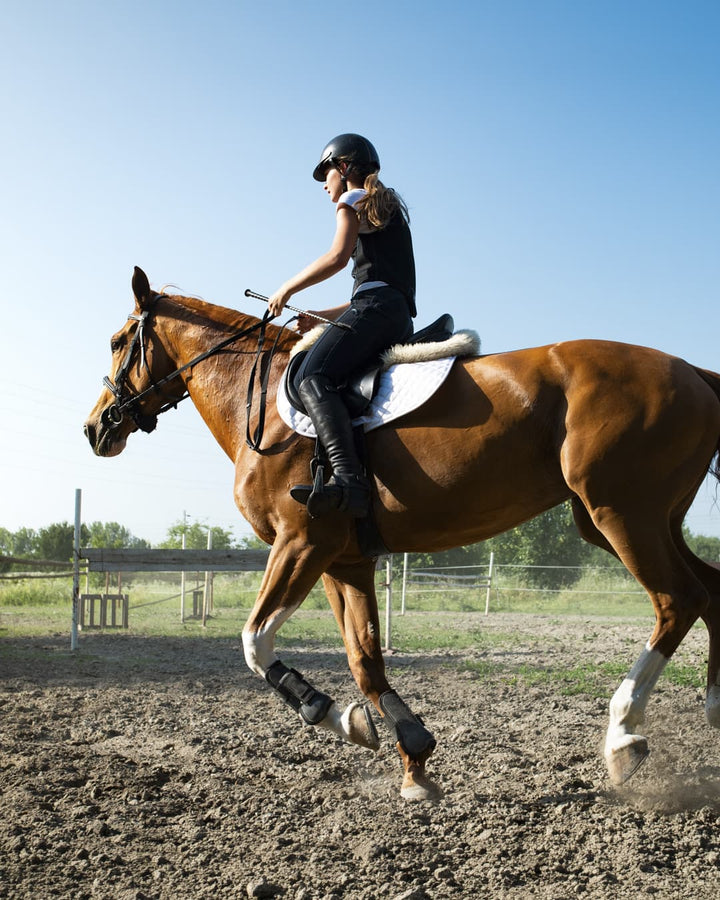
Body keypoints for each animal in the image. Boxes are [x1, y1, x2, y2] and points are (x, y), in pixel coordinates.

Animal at [84, 267, 720, 800]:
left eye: (117, 342)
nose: (96, 428)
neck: (256, 396)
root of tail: (691, 371)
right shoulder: (342, 561)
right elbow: (365, 660)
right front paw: (406, 754)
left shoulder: (302, 543)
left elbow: (255, 641)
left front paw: (322, 708)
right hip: (634, 521)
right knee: (710, 590)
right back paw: (712, 708)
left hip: (622, 515)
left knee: (678, 599)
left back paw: (623, 736)